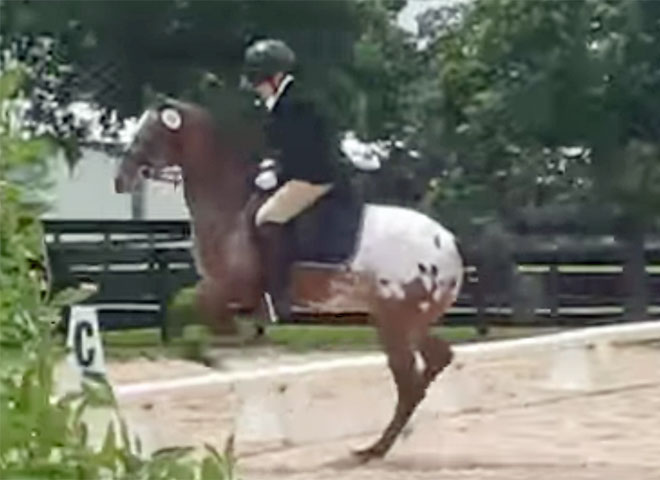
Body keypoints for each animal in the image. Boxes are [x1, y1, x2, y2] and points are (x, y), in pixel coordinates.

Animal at [114, 97, 464, 460]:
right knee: (435, 360)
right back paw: (380, 445)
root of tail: (448, 242)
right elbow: (197, 313)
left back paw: (375, 449)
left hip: (395, 321)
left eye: (149, 134)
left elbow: (203, 315)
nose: (121, 179)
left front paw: (214, 354)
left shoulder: (229, 288)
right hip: (405, 320)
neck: (230, 206)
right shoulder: (227, 293)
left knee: (408, 378)